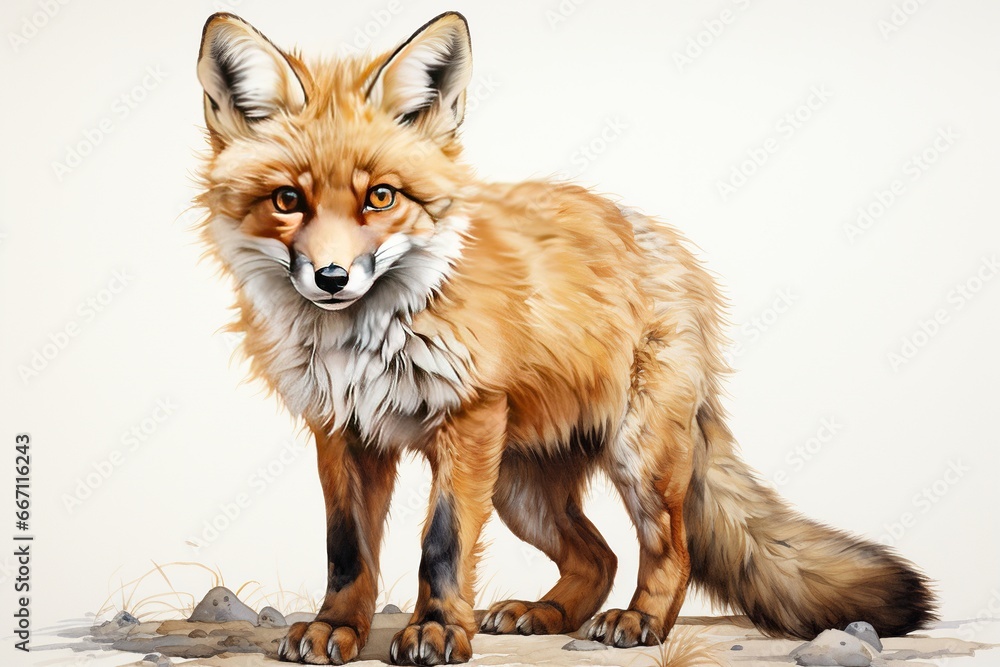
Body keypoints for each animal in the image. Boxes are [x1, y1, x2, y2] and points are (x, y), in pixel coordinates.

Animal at [194, 10, 936, 666]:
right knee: (598, 555)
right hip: (519, 491)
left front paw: (436, 629)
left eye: (381, 196)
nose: (332, 277)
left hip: (634, 459)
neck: (364, 340)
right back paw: (545, 612)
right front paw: (336, 629)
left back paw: (640, 620)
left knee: (671, 548)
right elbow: (347, 550)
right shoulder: (343, 430)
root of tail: (667, 246)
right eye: (288, 201)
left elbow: (442, 544)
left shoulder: (467, 417)